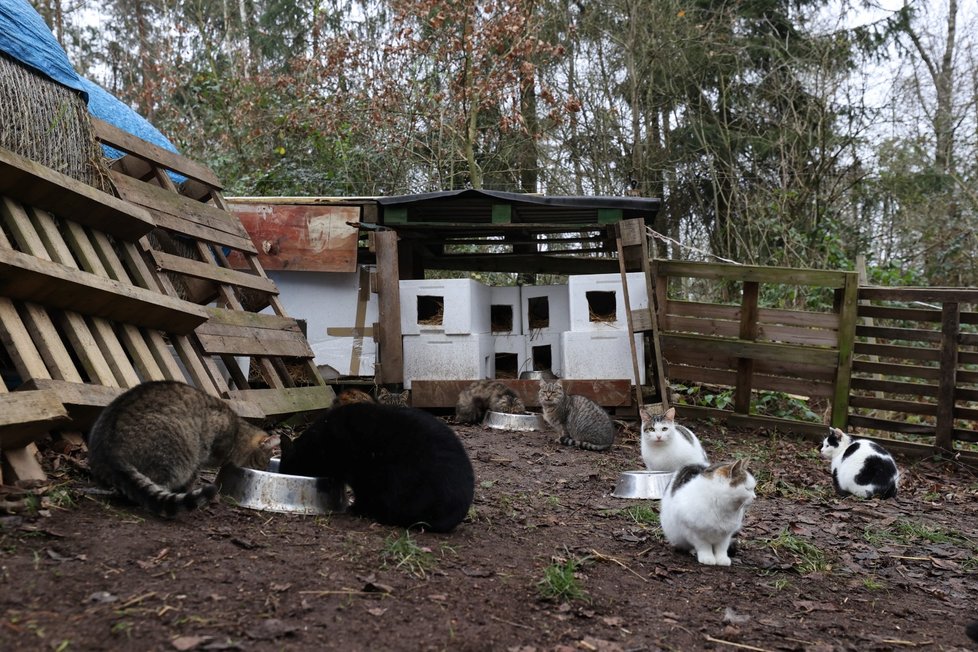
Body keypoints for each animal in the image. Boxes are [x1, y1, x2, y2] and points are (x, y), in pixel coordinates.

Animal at [85, 380, 274, 516]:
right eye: (263, 463)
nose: (265, 469)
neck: (237, 432)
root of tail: (110, 451)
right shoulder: (205, 448)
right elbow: (194, 475)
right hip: (173, 454)